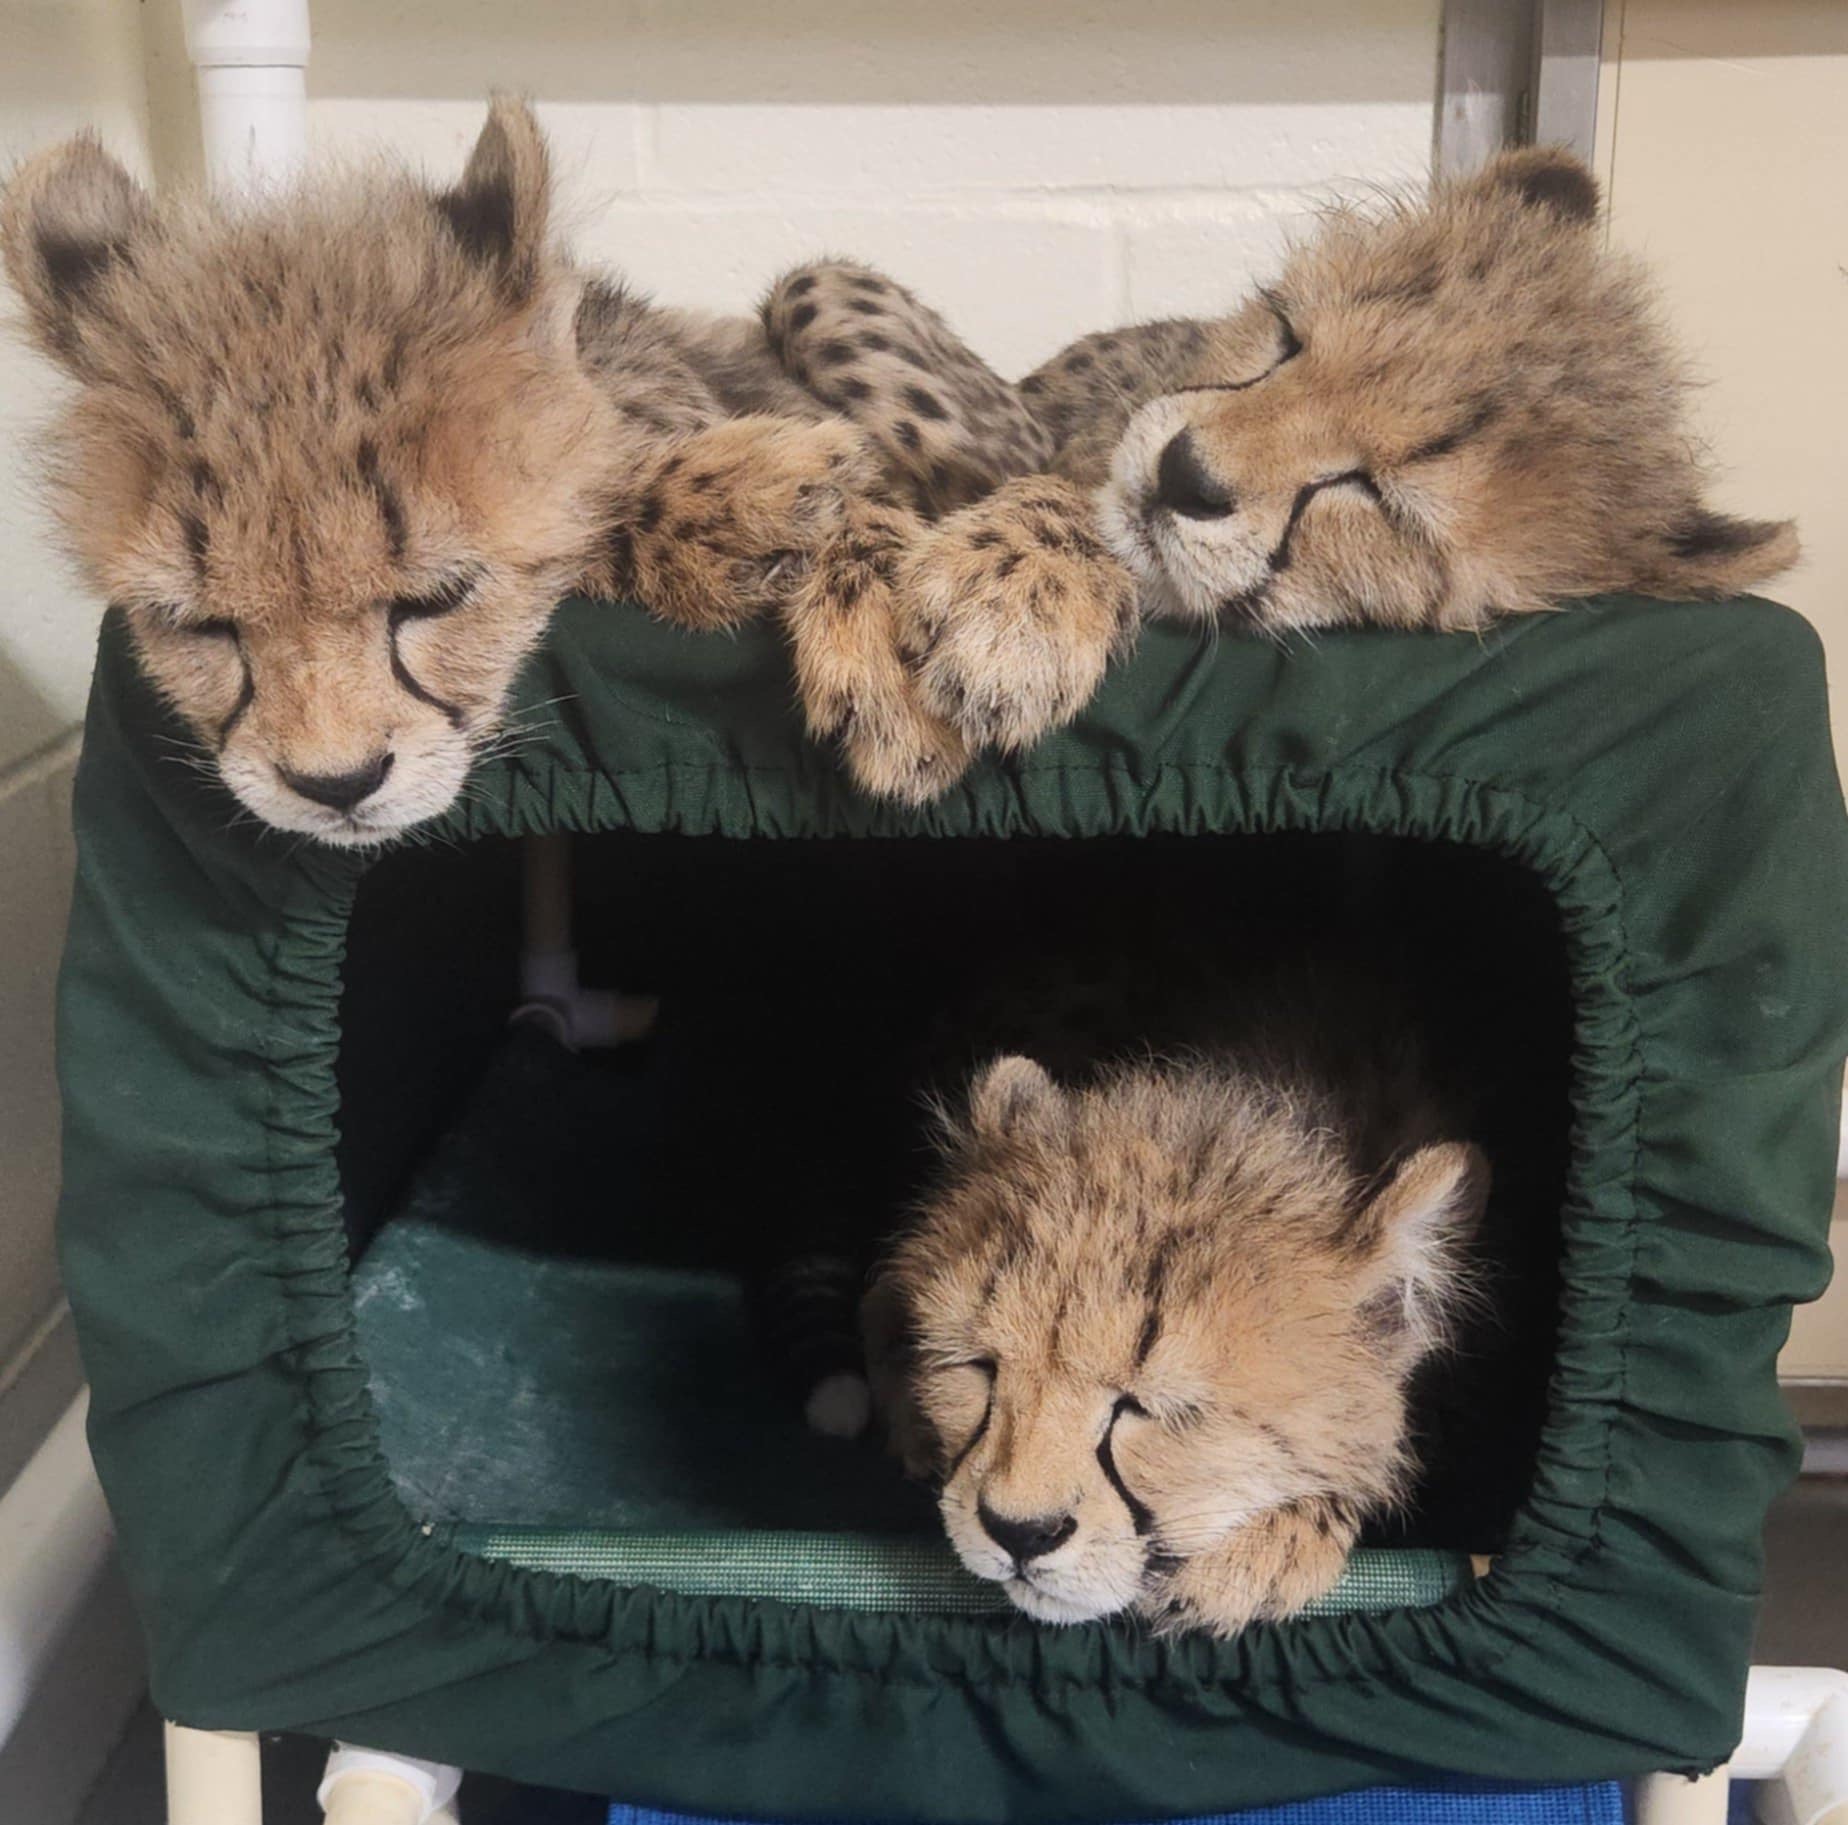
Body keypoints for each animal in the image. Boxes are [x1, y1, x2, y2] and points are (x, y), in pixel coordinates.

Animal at [0, 96, 1050, 843]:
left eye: (437, 597)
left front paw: (891, 625)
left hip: (821, 291)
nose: (336, 785)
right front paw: (757, 508)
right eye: (199, 625)